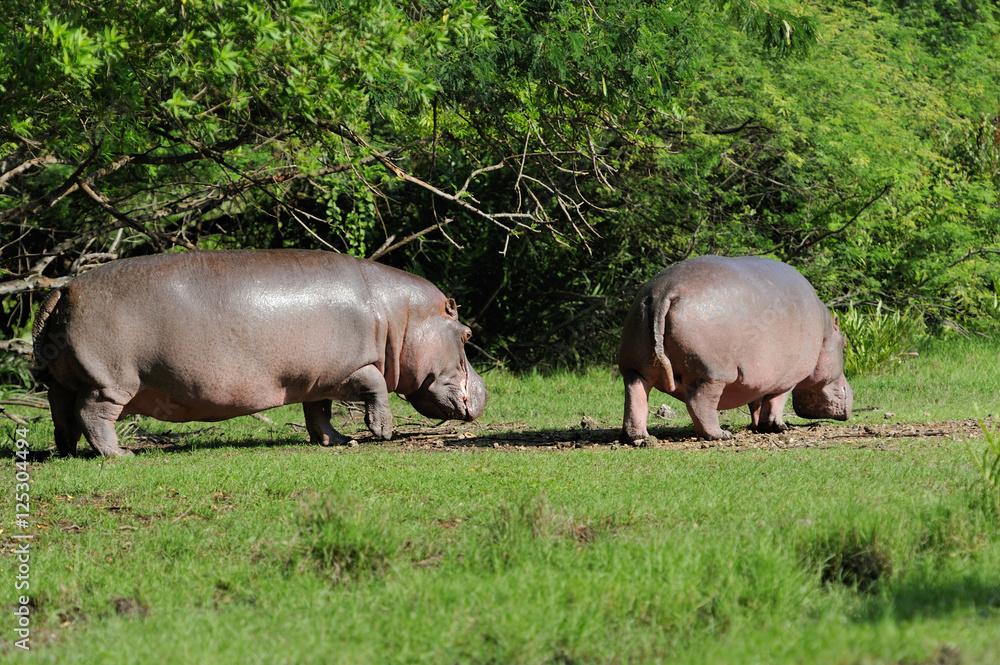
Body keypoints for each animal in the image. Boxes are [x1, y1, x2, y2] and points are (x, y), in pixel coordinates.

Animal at [32, 249, 487, 457]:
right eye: (467, 334)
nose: (486, 392)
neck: (400, 316)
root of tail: (64, 289)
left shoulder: (317, 378)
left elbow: (318, 414)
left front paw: (338, 441)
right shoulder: (350, 367)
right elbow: (375, 384)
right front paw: (380, 433)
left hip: (63, 380)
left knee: (63, 414)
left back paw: (67, 452)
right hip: (110, 381)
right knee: (93, 414)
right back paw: (120, 454)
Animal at [618, 256, 852, 441]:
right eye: (845, 344)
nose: (852, 393)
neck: (826, 333)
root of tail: (663, 292)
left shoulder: (759, 379)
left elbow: (756, 404)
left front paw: (758, 427)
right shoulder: (788, 378)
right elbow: (775, 403)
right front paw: (779, 427)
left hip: (634, 367)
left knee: (635, 397)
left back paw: (640, 438)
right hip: (712, 375)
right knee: (699, 404)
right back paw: (721, 435)